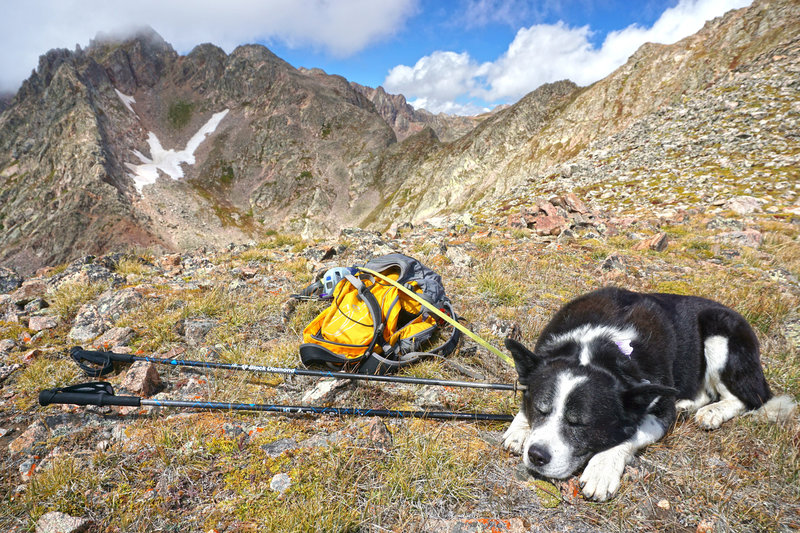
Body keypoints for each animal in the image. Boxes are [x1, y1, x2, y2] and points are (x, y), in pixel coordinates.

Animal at [504, 286, 796, 498]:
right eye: (541, 410)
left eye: (580, 424)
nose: (536, 455)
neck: (597, 348)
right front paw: (520, 429)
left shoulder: (658, 413)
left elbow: (630, 433)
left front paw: (601, 470)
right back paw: (686, 404)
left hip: (721, 335)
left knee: (748, 398)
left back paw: (713, 412)